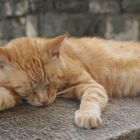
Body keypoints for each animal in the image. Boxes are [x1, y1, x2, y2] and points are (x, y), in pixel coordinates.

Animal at [0, 35, 139, 129]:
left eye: (50, 83)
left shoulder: (91, 85)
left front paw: (87, 115)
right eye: (30, 89)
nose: (44, 101)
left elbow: (90, 99)